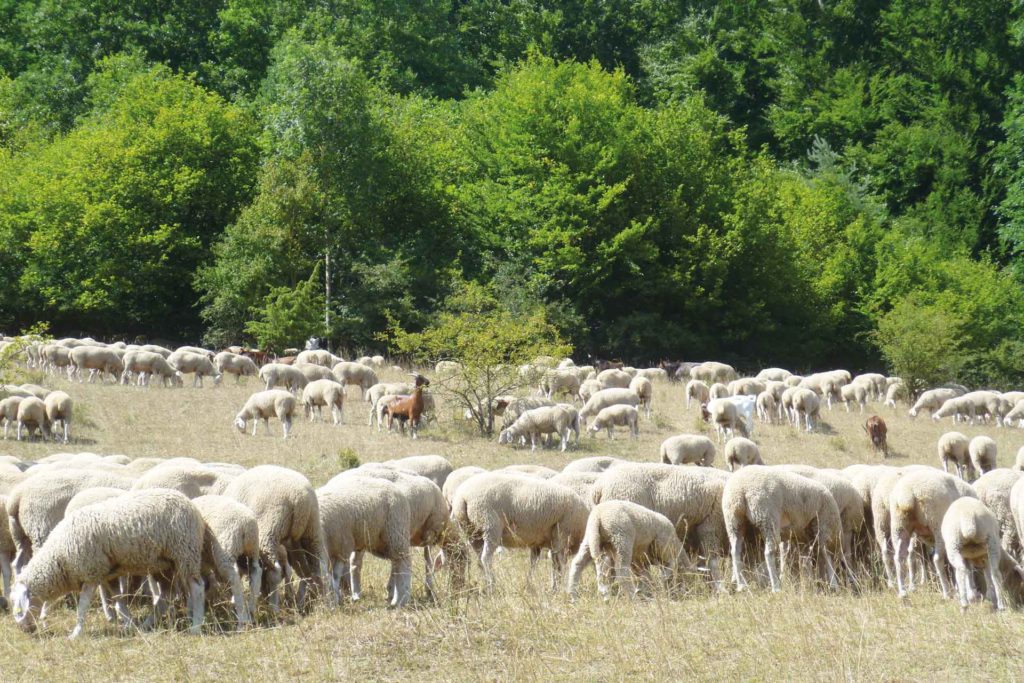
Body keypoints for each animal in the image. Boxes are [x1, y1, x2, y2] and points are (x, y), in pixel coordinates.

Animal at [9, 489, 205, 638]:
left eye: (18, 606)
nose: (24, 630)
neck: (59, 556)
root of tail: (188, 502)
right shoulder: (106, 574)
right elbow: (118, 600)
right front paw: (130, 625)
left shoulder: (90, 572)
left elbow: (83, 607)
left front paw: (76, 634)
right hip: (163, 564)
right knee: (165, 595)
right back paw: (147, 625)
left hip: (185, 553)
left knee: (197, 588)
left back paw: (196, 626)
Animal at [222, 466, 329, 618]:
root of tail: (300, 499)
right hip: (311, 531)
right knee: (321, 567)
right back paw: (326, 604)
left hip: (269, 530)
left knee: (275, 571)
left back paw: (273, 607)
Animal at [450, 473, 589, 589]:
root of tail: (462, 497)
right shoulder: (562, 537)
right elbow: (559, 565)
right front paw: (558, 588)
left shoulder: (538, 543)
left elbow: (535, 563)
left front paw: (531, 585)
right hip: (490, 526)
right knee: (486, 558)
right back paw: (492, 585)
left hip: (471, 532)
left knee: (479, 559)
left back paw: (486, 585)